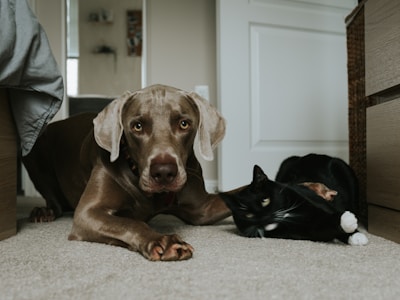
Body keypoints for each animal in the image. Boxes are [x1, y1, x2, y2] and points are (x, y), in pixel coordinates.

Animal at [23, 84, 231, 260]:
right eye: (137, 126)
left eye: (184, 124)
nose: (164, 173)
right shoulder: (87, 213)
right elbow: (131, 223)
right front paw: (162, 240)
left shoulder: (203, 209)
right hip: (34, 151)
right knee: (53, 199)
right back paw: (44, 211)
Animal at [222, 154, 368, 245]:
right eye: (248, 215)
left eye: (265, 200)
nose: (264, 218)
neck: (288, 215)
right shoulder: (307, 232)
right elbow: (324, 228)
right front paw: (347, 222)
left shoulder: (317, 202)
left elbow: (331, 212)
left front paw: (356, 234)